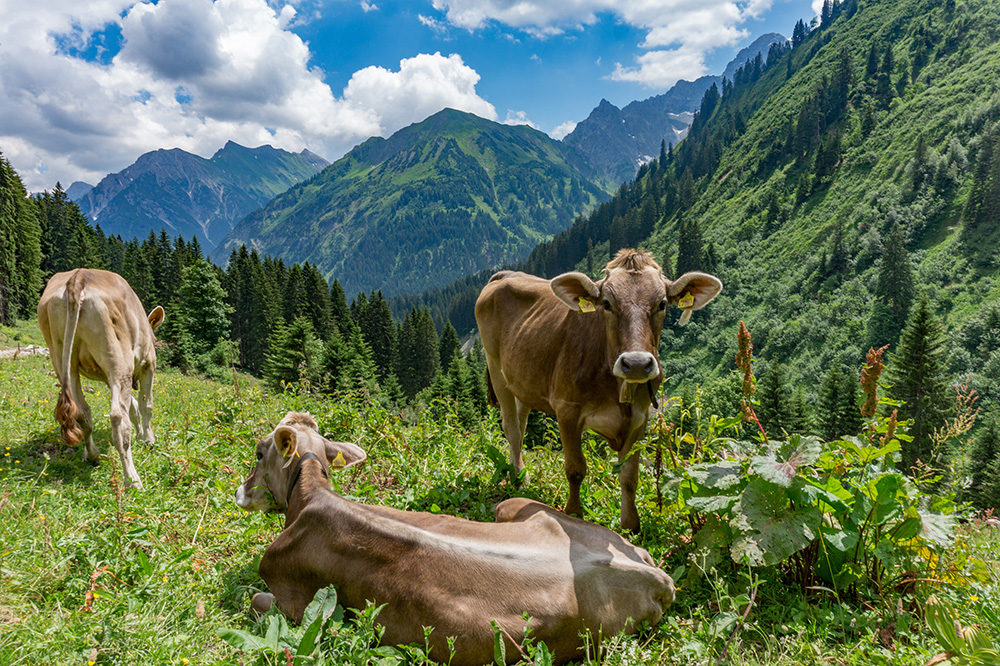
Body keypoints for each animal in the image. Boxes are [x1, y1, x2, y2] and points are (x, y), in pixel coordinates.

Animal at [233, 410, 672, 664]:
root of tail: (656, 577)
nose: (240, 492)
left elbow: (255, 599)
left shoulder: (293, 603)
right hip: (516, 506)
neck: (310, 496)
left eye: (258, 452)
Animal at [474, 246, 720, 532]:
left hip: (523, 379)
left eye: (661, 304)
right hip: (495, 366)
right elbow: (575, 468)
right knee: (511, 428)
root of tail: (505, 274)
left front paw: (630, 525)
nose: (636, 363)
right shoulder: (567, 409)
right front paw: (573, 513)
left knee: (521, 424)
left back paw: (520, 471)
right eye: (607, 304)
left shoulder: (640, 418)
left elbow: (629, 476)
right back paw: (518, 480)